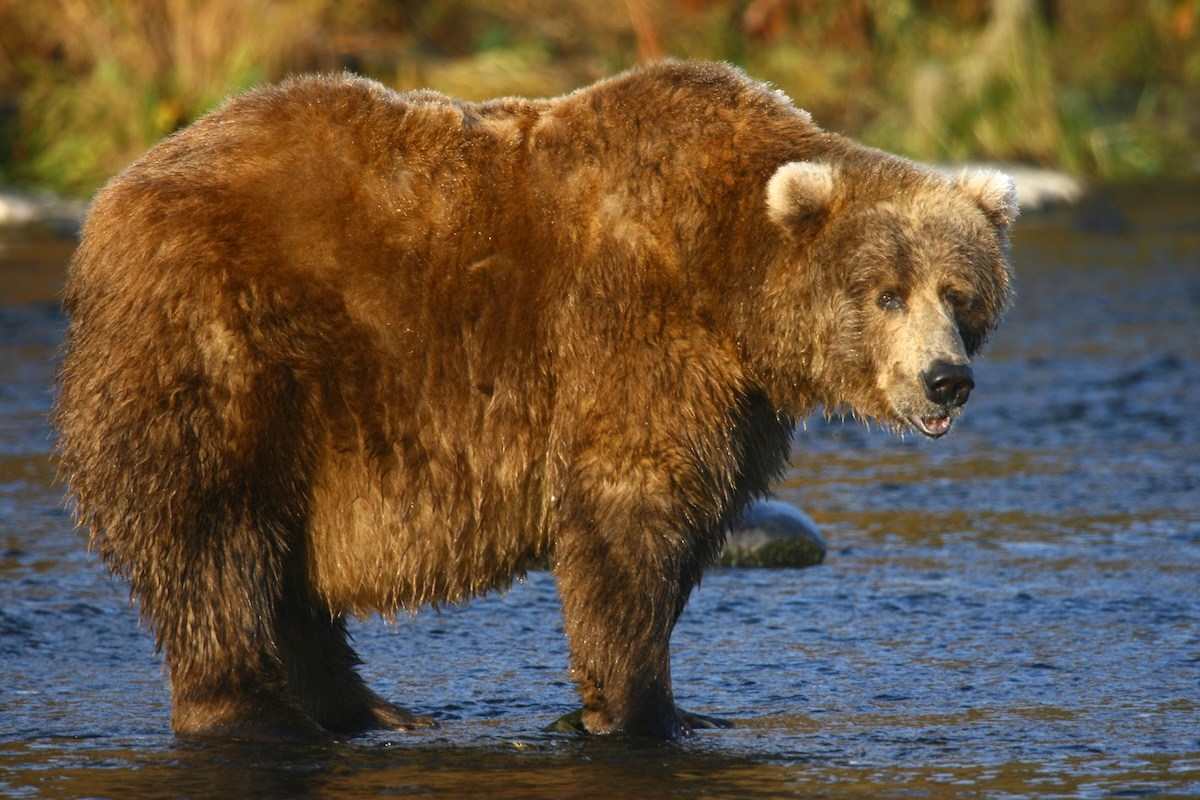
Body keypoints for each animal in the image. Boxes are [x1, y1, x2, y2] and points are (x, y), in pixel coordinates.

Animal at [54, 60, 1016, 741]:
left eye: (959, 292)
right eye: (886, 292)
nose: (945, 378)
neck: (727, 280)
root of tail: (112, 197)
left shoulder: (737, 403)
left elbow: (694, 517)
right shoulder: (630, 334)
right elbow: (628, 510)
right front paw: (643, 709)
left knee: (279, 563)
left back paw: (367, 708)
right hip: (228, 346)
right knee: (216, 530)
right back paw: (255, 710)